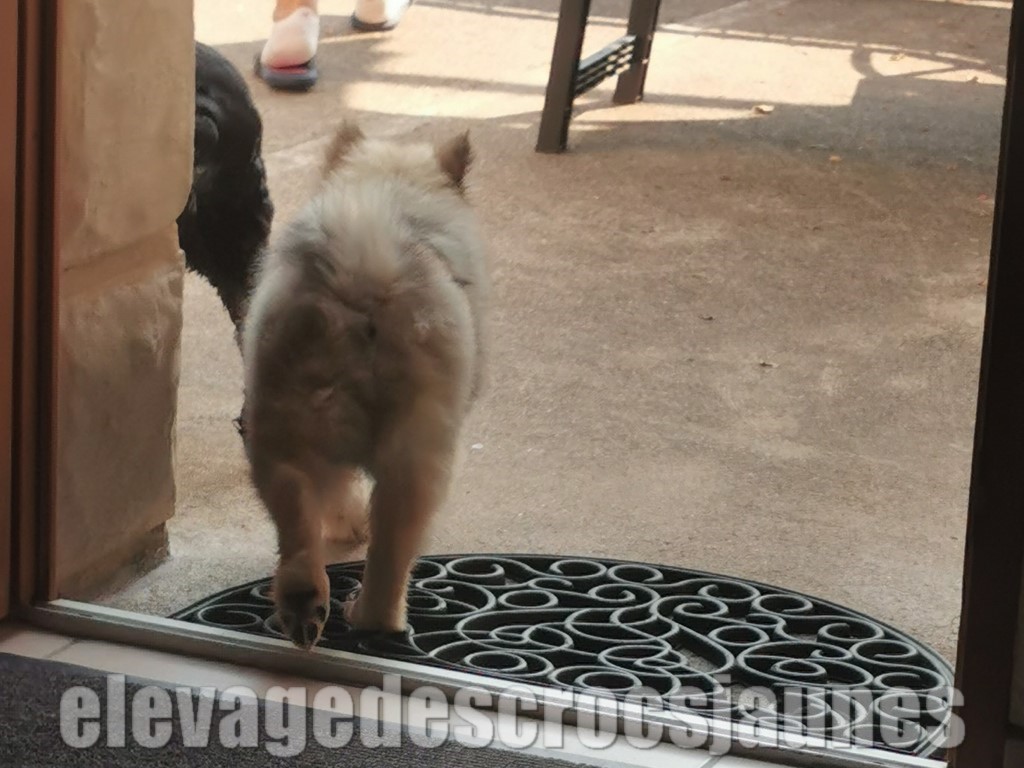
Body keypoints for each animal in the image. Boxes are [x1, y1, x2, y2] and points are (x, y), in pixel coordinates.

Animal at [240, 123, 489, 649]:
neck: (389, 184)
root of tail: (360, 283)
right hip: (417, 450)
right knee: (393, 549)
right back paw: (376, 617)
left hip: (276, 430)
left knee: (296, 523)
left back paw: (304, 606)